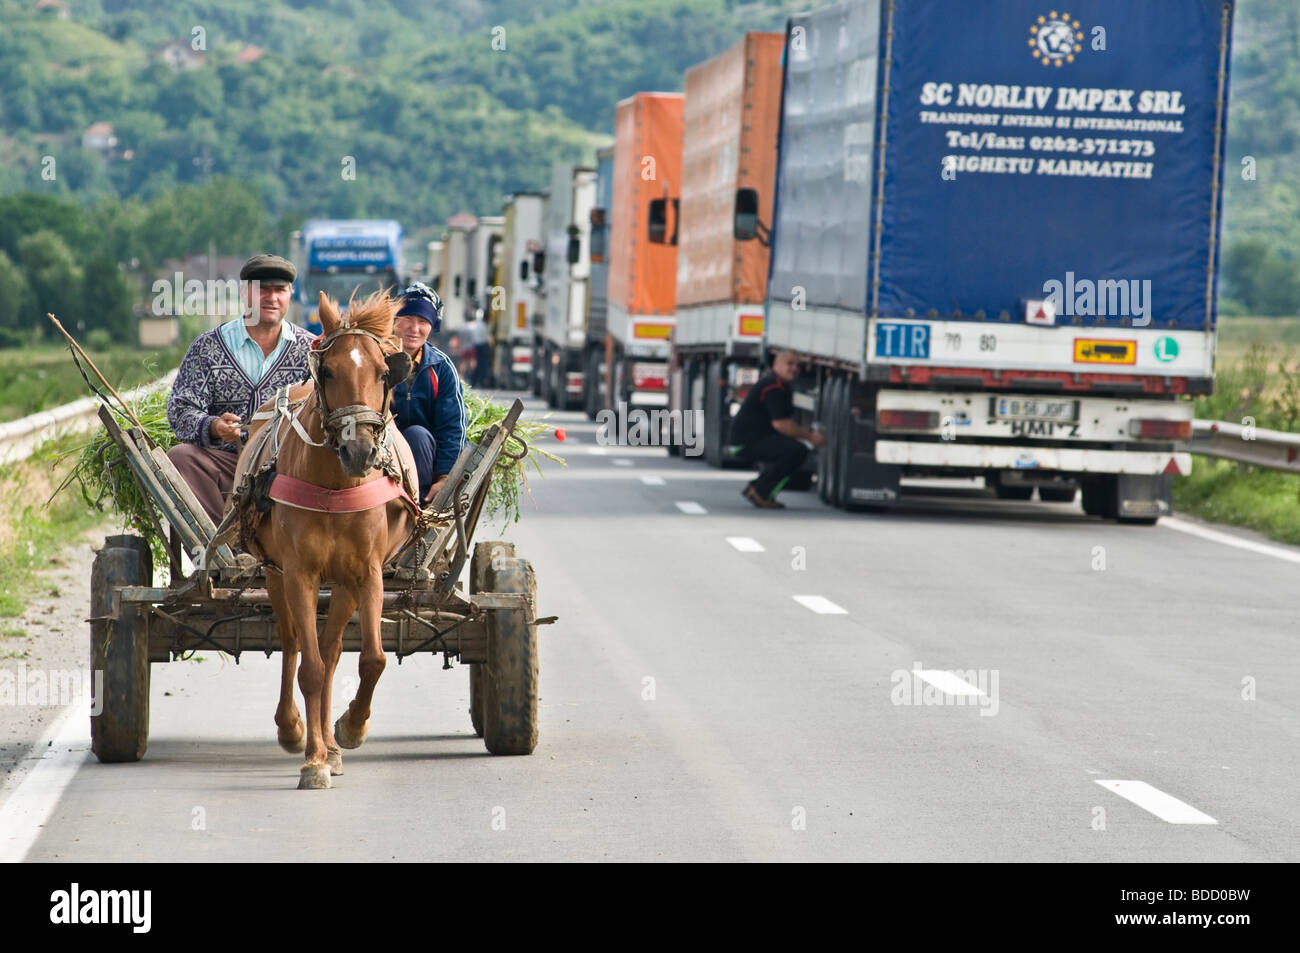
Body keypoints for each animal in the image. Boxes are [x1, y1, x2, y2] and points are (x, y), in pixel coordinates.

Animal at [230, 289, 416, 790]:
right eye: (328, 371)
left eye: (384, 372)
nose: (359, 450)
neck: (335, 484)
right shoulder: (299, 573)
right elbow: (308, 668)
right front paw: (311, 759)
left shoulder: (367, 573)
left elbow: (371, 659)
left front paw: (349, 730)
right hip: (276, 576)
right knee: (294, 644)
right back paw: (295, 730)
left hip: (345, 584)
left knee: (333, 652)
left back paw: (332, 745)